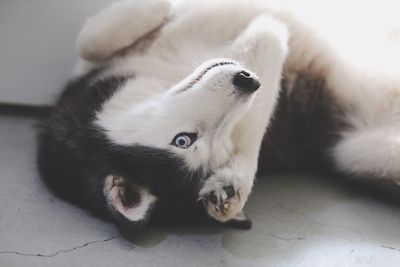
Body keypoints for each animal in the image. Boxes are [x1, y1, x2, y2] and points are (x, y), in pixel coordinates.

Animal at [37, 0, 400, 230]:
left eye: (221, 139)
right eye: (184, 141)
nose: (247, 80)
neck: (166, 68)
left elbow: (89, 41)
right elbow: (269, 42)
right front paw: (233, 186)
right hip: (353, 152)